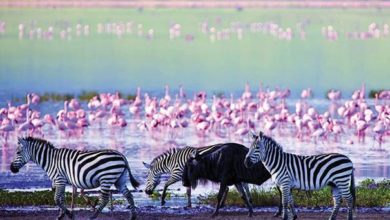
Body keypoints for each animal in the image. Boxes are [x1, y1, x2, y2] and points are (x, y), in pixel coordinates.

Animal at [9, 137, 141, 219]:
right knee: (129, 195)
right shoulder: (60, 181)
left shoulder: (59, 179)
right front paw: (61, 215)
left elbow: (57, 199)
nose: (11, 168)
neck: (51, 160)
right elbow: (61, 199)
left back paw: (93, 216)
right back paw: (133, 217)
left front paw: (69, 214)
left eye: (18, 152)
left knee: (104, 199)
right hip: (120, 179)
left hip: (106, 178)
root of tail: (121, 155)